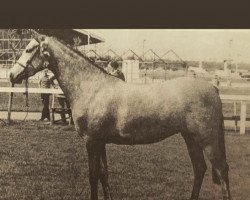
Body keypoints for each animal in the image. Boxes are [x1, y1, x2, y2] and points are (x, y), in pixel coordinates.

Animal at [8, 36, 231, 200]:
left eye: (29, 49)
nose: (11, 75)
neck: (91, 87)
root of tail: (213, 88)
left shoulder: (92, 141)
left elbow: (93, 175)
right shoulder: (100, 142)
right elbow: (103, 175)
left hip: (207, 140)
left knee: (221, 170)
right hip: (190, 138)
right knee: (200, 169)